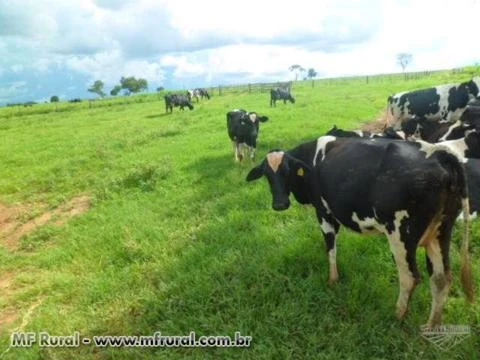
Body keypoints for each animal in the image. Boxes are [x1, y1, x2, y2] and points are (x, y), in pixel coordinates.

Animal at [248, 136, 472, 328]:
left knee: (410, 277)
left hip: (401, 234)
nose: (279, 204)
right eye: (267, 174)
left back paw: (397, 315)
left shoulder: (324, 213)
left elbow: (330, 248)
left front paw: (332, 280)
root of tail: (440, 154)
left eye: (287, 170)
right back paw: (431, 327)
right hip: (441, 232)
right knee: (441, 279)